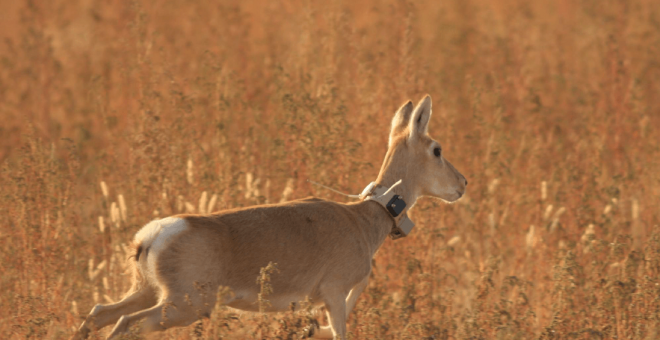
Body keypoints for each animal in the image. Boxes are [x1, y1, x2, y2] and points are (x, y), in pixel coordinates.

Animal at [73, 94, 464, 338]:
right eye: (437, 149)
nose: (462, 183)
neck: (363, 219)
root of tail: (151, 236)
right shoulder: (336, 296)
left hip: (146, 292)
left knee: (98, 313)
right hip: (181, 306)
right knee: (125, 323)